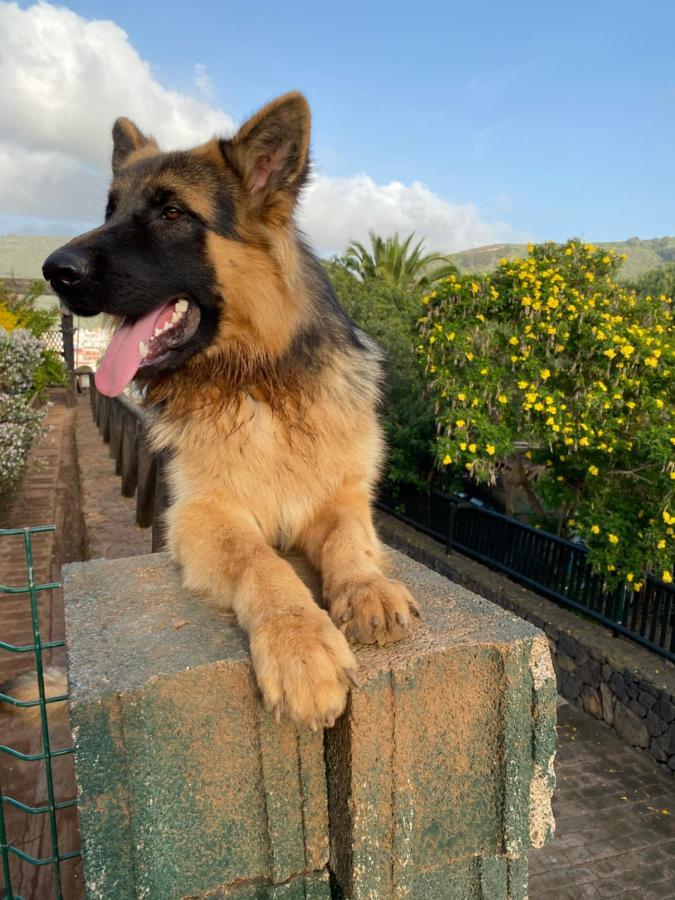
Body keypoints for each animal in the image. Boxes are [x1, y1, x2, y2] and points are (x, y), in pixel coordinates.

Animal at [42, 91, 420, 728]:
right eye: (110, 211)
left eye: (172, 213)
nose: (55, 272)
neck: (257, 378)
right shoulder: (202, 516)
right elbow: (262, 562)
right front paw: (300, 643)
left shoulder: (340, 499)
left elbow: (351, 542)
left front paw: (366, 587)